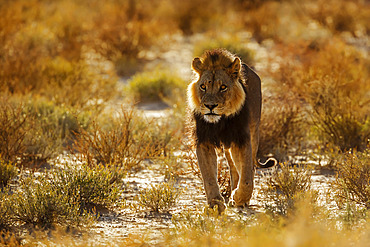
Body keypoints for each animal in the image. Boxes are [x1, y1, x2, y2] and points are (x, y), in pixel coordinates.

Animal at [188, 48, 274, 212]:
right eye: (203, 87)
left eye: (223, 87)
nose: (210, 106)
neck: (219, 122)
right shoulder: (203, 141)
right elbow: (209, 176)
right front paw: (215, 203)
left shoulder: (242, 139)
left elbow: (247, 177)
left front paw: (240, 198)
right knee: (234, 170)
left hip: (253, 133)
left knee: (248, 168)